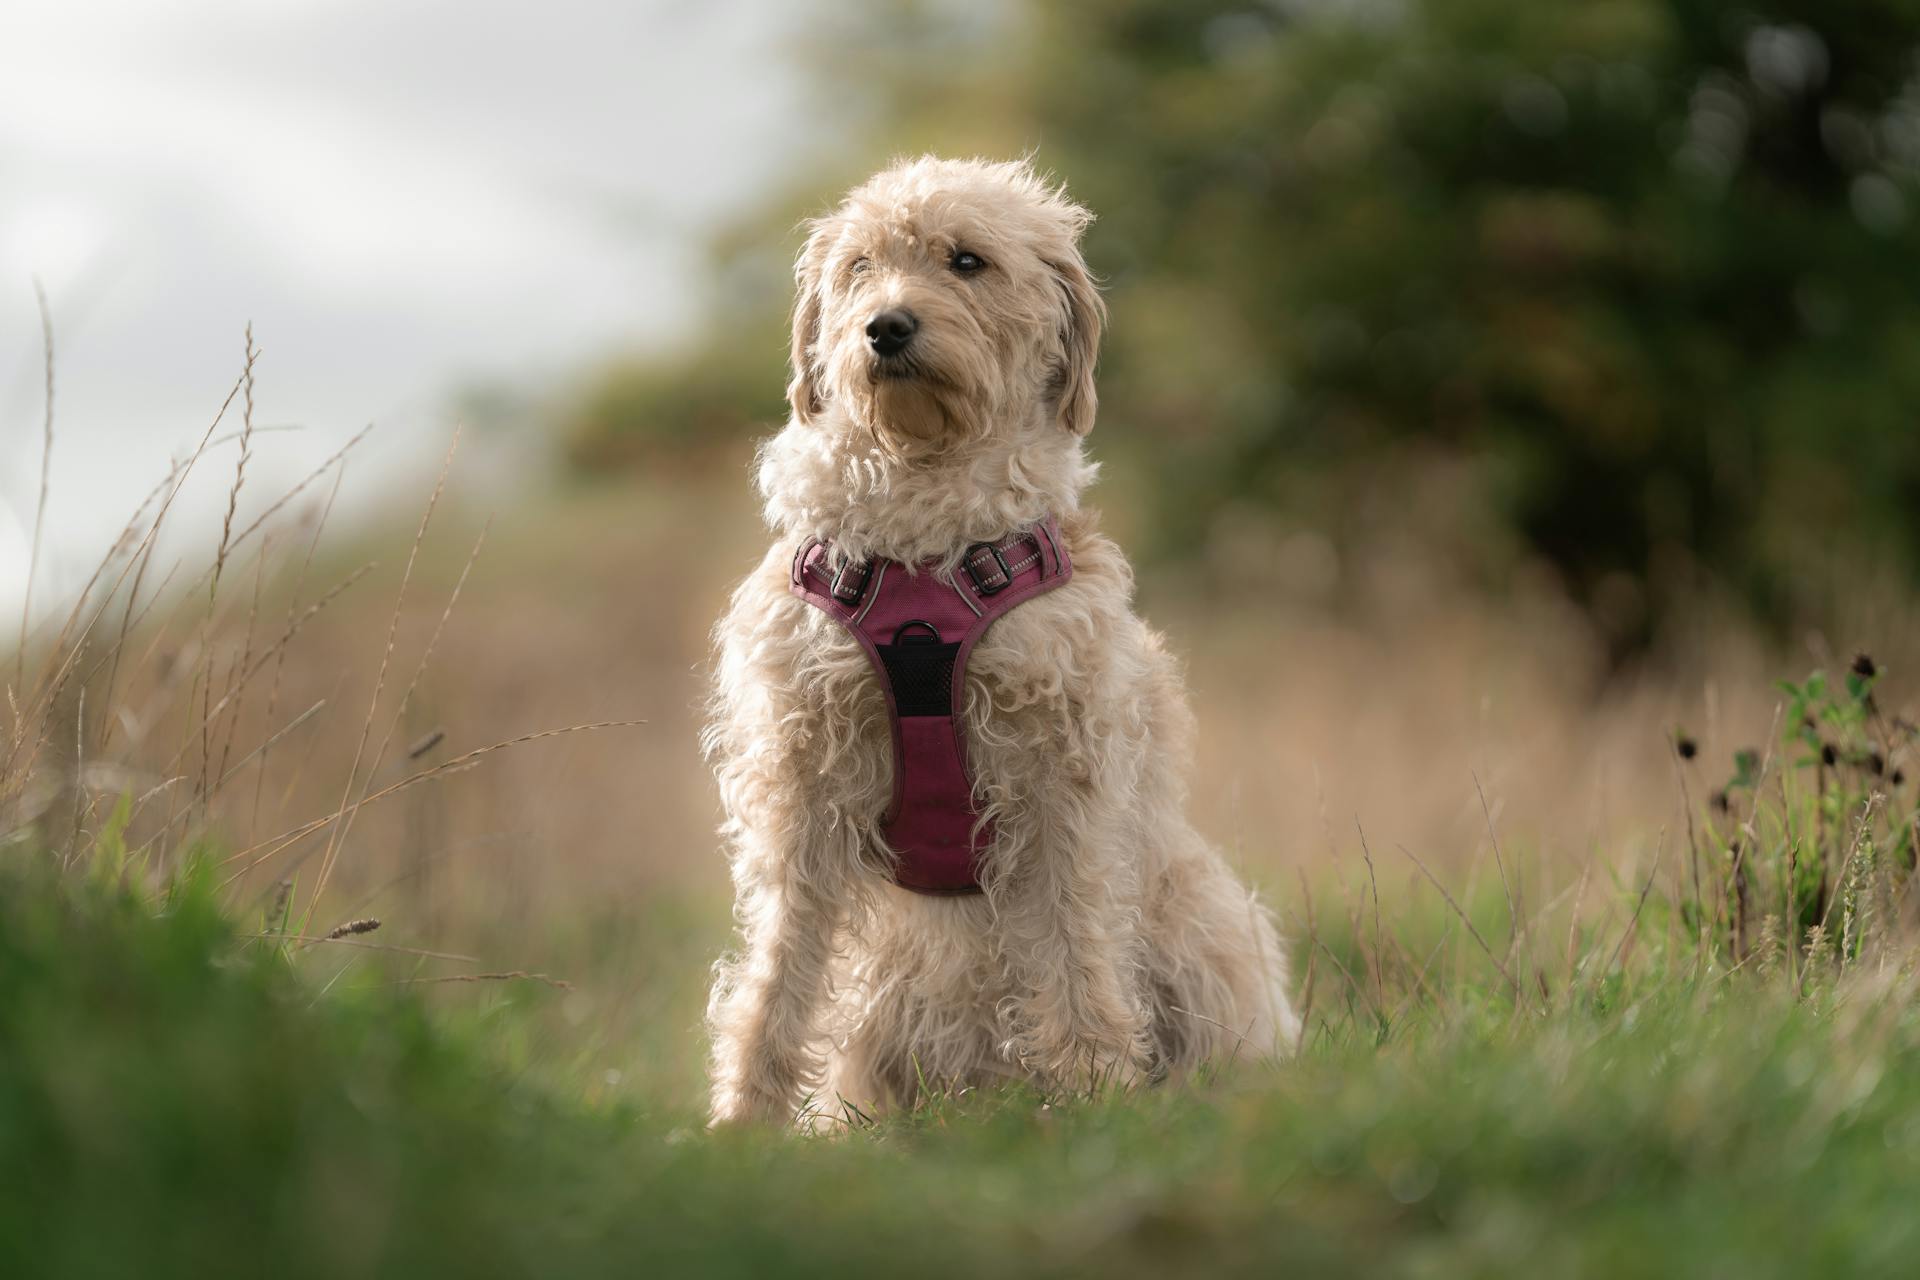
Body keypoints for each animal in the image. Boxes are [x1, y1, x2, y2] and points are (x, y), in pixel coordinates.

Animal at [698, 155, 1297, 1128]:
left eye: (968, 261)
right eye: (860, 266)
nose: (885, 327)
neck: (923, 547)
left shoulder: (1062, 779)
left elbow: (1076, 950)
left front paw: (1096, 1091)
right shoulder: (802, 780)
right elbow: (776, 973)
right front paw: (744, 1124)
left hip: (1205, 929)